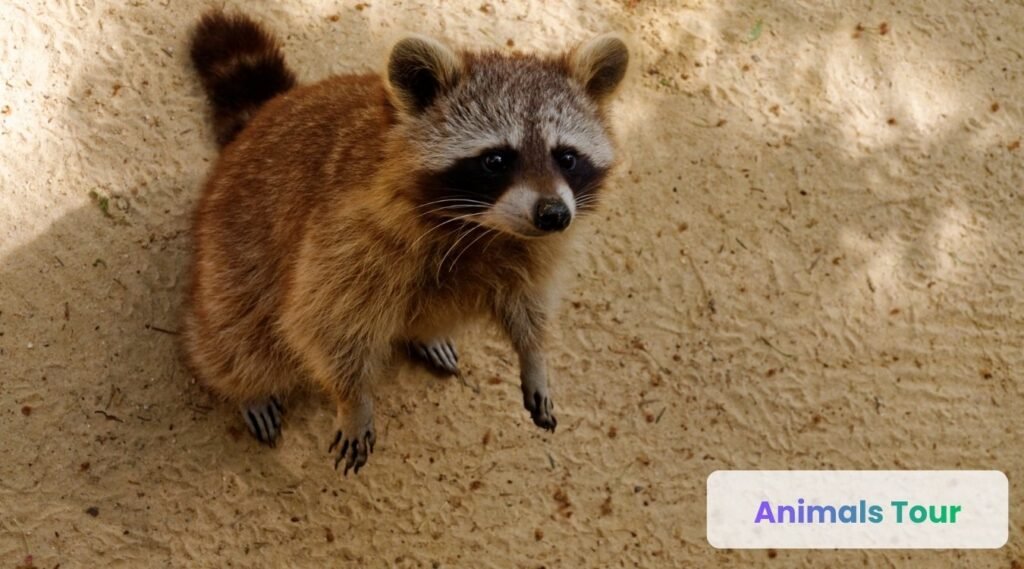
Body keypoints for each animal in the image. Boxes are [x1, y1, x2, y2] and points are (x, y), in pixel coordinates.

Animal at [183, 10, 628, 474]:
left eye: (567, 157)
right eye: (496, 159)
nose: (554, 215)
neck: (485, 228)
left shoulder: (534, 248)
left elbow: (526, 300)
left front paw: (534, 355)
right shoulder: (349, 233)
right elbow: (326, 321)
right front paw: (353, 401)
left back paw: (425, 333)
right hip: (234, 243)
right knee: (237, 331)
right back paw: (244, 385)